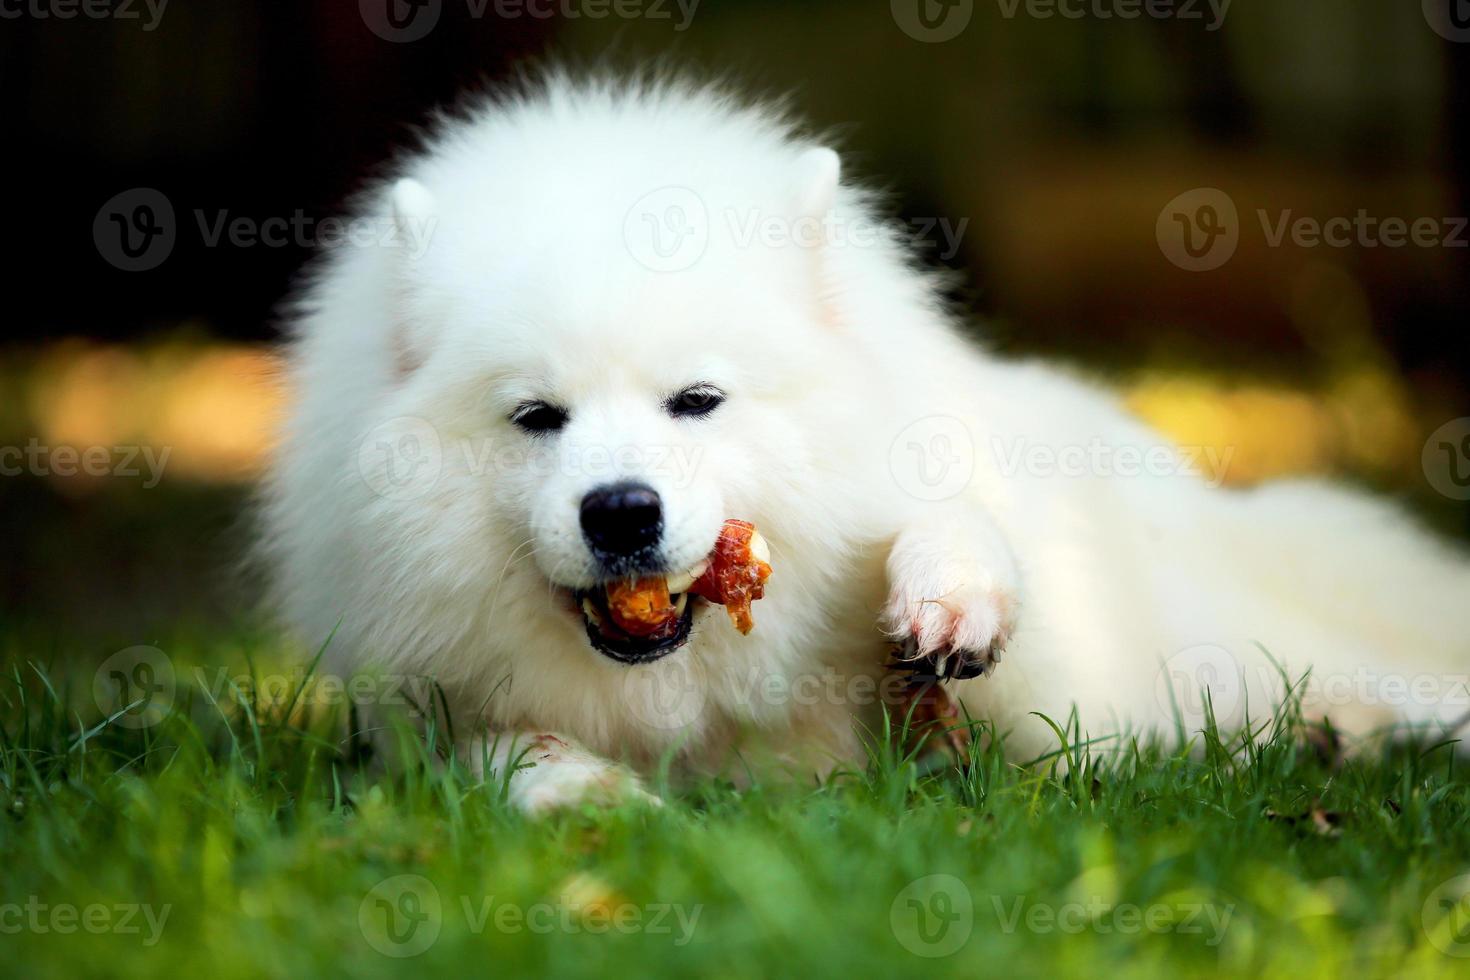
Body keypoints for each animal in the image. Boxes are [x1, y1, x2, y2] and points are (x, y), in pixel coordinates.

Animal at [264, 72, 1470, 816]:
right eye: (535, 418)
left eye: (696, 400)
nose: (621, 510)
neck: (688, 676)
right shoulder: (415, 710)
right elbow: (496, 753)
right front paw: (580, 795)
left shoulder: (1062, 698)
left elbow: (974, 569)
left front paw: (953, 593)